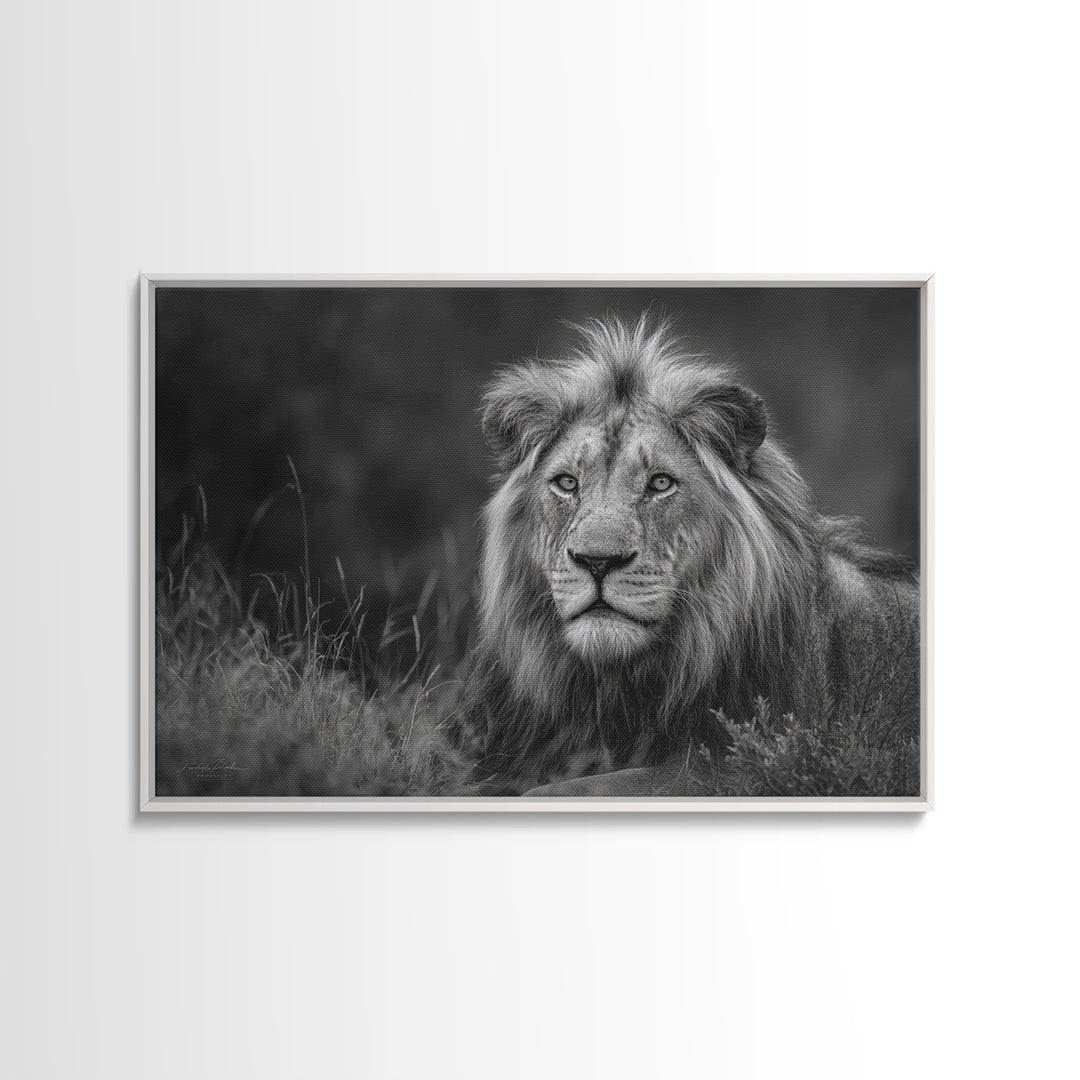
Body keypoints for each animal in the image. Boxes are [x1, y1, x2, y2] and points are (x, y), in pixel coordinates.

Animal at [459, 315, 920, 796]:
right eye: (567, 483)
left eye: (660, 483)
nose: (597, 561)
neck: (613, 689)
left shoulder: (738, 767)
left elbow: (567, 789)